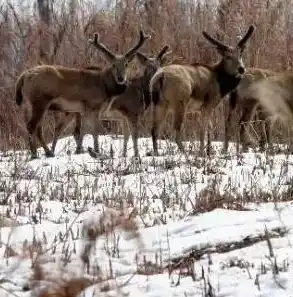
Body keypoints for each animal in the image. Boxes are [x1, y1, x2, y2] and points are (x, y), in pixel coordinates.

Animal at [14, 29, 151, 160]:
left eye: (126, 64)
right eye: (113, 65)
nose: (121, 78)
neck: (105, 86)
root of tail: (24, 76)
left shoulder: (86, 110)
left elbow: (85, 131)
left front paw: (85, 150)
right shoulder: (93, 106)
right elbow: (94, 132)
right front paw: (96, 151)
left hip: (38, 104)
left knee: (38, 127)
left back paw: (47, 152)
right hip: (40, 100)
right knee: (32, 125)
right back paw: (36, 154)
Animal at [148, 24, 253, 156]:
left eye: (240, 54)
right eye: (228, 57)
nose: (241, 69)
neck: (221, 84)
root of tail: (161, 76)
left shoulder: (201, 109)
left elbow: (209, 127)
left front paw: (209, 150)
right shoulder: (209, 103)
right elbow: (203, 129)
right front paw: (202, 152)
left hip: (158, 103)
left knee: (154, 130)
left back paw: (156, 154)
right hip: (180, 101)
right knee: (176, 130)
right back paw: (185, 152)